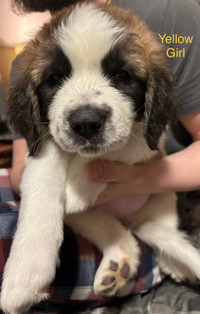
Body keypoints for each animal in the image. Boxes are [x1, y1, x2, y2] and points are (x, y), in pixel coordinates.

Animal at [1, 2, 200, 314]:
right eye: (54, 79)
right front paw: (25, 273)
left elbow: (125, 141)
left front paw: (78, 185)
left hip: (161, 203)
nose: (85, 123)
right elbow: (42, 181)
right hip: (89, 220)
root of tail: (134, 220)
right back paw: (118, 261)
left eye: (122, 76)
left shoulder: (150, 141)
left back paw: (170, 263)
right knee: (124, 236)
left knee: (162, 235)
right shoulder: (42, 141)